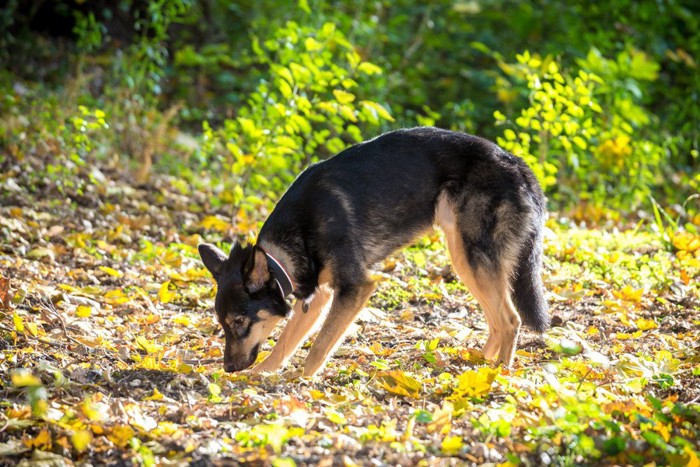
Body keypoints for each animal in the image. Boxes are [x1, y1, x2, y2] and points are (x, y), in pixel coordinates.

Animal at [197, 127, 548, 376]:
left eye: (239, 322)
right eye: (222, 323)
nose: (229, 368)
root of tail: (518, 165)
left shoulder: (355, 288)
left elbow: (319, 346)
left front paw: (299, 381)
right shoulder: (318, 297)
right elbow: (285, 343)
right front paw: (262, 374)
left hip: (473, 258)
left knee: (510, 320)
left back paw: (497, 375)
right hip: (463, 259)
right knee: (497, 322)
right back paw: (478, 365)